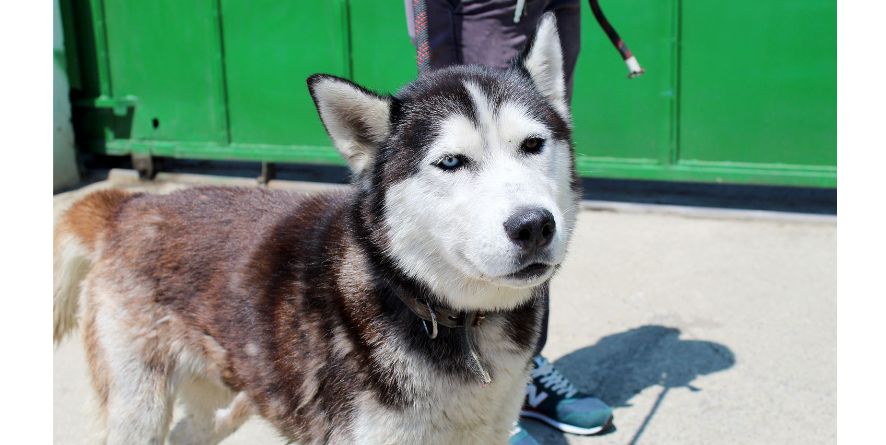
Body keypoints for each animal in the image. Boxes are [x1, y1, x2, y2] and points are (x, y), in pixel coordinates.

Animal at [55, 13, 584, 444]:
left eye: (532, 144)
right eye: (451, 161)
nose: (534, 225)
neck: (442, 312)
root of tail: (130, 203)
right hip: (138, 407)